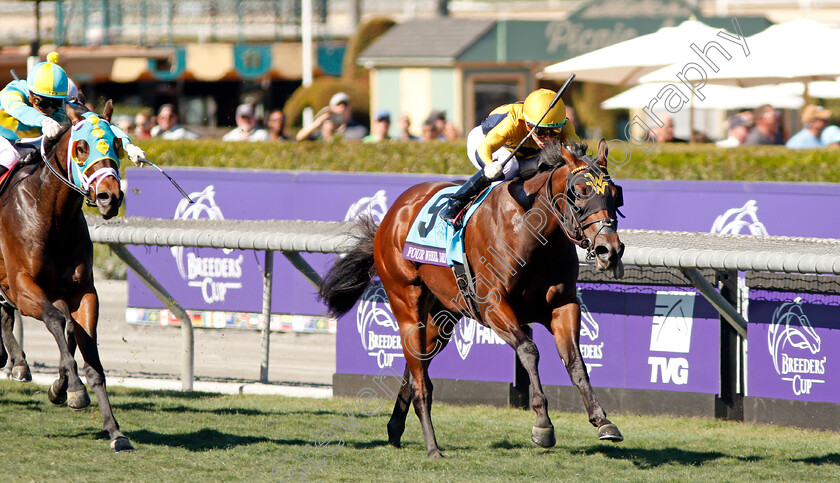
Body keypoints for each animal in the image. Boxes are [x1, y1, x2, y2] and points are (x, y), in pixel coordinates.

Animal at [0, 102, 131, 454]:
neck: (51, 215)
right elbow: (56, 321)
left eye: (117, 144)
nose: (109, 197)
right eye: (82, 147)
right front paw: (73, 388)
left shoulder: (81, 292)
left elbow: (84, 345)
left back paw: (18, 362)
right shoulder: (22, 287)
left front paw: (114, 431)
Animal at [322, 140, 624, 458]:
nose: (609, 249)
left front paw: (602, 420)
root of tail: (393, 213)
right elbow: (529, 351)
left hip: (441, 318)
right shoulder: (493, 306)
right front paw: (543, 424)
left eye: (615, 194)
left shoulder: (562, 305)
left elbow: (575, 360)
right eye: (581, 191)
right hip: (406, 302)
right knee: (421, 381)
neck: (530, 231)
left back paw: (395, 430)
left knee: (415, 364)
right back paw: (432, 447)